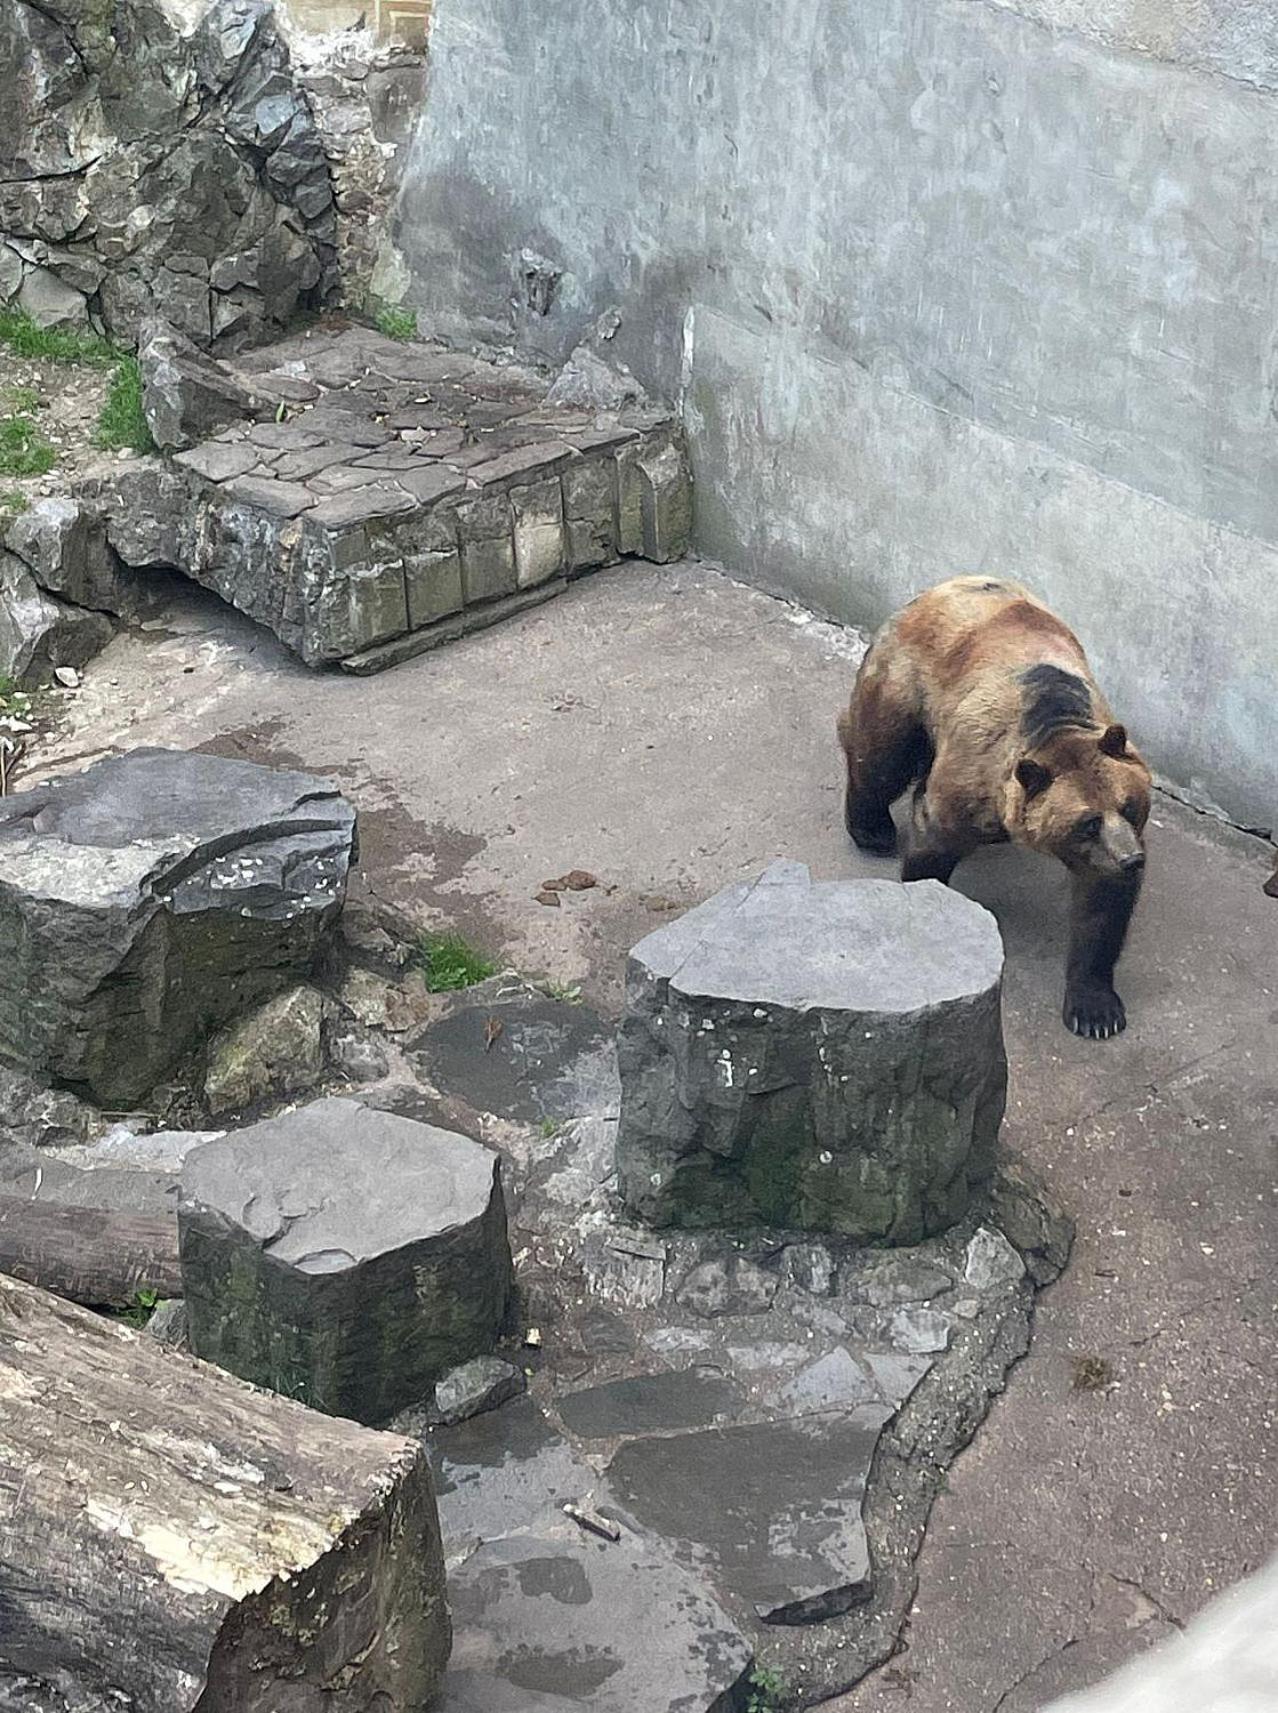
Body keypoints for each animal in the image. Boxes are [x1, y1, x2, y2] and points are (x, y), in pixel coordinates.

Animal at [832, 575, 1151, 1034]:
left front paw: (1095, 1010)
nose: (1132, 860)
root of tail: (941, 586)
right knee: (880, 754)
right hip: (903, 679)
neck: (1055, 726)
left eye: (1129, 806)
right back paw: (871, 829)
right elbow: (934, 834)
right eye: (1088, 822)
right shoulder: (974, 775)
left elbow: (1101, 909)